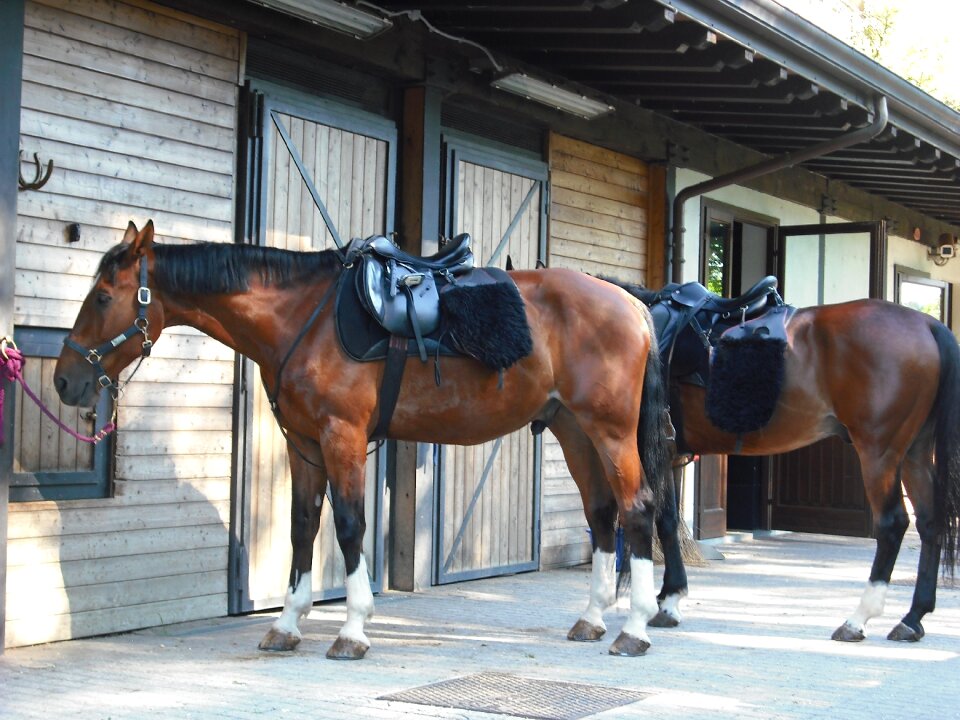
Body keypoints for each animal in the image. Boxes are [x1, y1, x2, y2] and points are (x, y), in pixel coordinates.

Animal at [50, 222, 668, 660]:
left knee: (637, 511)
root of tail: (632, 304)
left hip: (610, 433)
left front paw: (352, 630)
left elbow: (349, 526)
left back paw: (635, 628)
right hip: (573, 430)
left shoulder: (340, 435)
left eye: (102, 297)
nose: (64, 380)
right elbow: (303, 526)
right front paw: (286, 624)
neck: (303, 316)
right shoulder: (303, 444)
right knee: (602, 514)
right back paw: (592, 620)